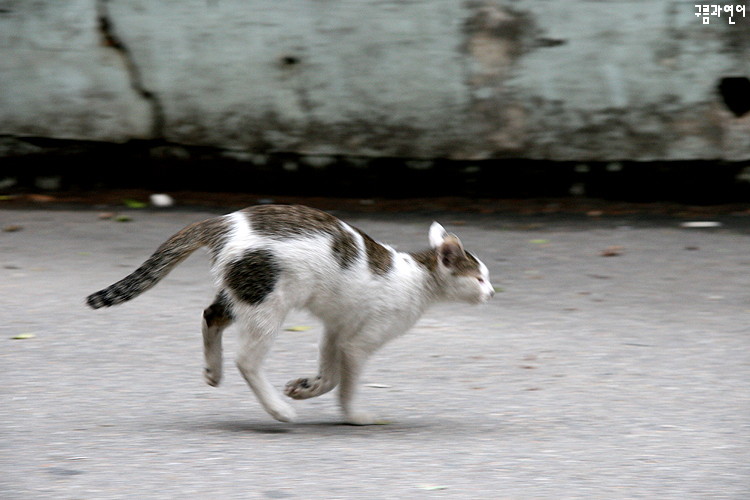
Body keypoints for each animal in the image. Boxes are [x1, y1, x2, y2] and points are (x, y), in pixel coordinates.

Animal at [88, 205, 496, 424]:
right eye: (479, 278)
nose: (491, 293)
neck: (419, 277)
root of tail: (224, 221)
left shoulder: (337, 328)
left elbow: (330, 374)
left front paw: (306, 387)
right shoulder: (360, 340)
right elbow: (346, 382)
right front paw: (352, 415)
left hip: (245, 291)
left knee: (210, 315)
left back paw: (213, 371)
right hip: (267, 300)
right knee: (247, 360)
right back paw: (277, 410)